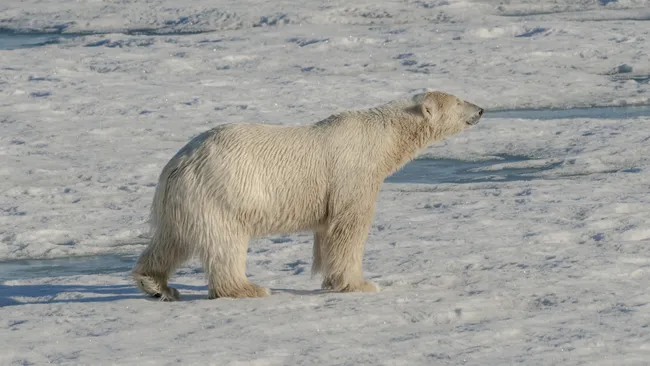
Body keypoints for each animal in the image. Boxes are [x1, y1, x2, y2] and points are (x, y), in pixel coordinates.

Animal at [130, 91, 480, 300]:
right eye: (458, 101)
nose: (480, 109)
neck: (382, 138)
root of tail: (178, 163)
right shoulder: (352, 174)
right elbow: (349, 226)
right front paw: (361, 284)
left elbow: (327, 232)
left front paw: (332, 280)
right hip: (221, 192)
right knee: (225, 244)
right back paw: (248, 288)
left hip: (184, 200)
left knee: (171, 240)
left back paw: (156, 285)